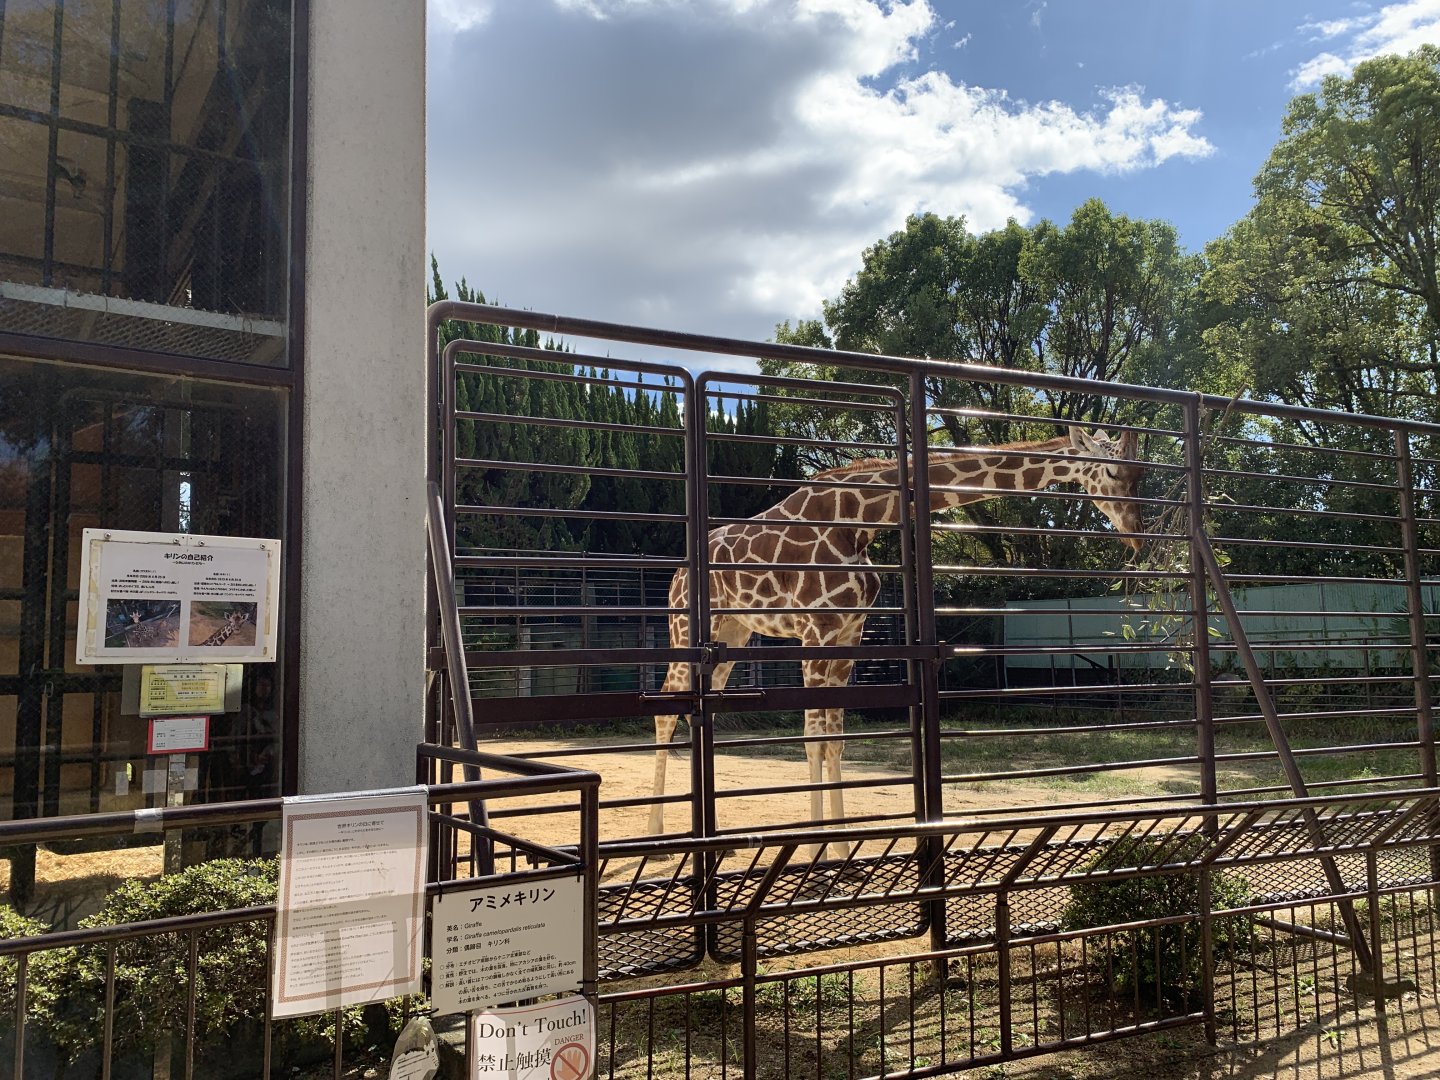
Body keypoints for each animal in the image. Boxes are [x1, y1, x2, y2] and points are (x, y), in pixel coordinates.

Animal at [647, 426, 1144, 838]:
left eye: (1137, 473)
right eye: (1112, 470)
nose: (1136, 533)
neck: (862, 519)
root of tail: (675, 575)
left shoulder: (849, 632)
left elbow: (835, 739)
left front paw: (840, 849)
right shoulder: (815, 630)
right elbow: (812, 737)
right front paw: (816, 849)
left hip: (730, 635)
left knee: (700, 708)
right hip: (684, 628)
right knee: (666, 707)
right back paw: (656, 835)